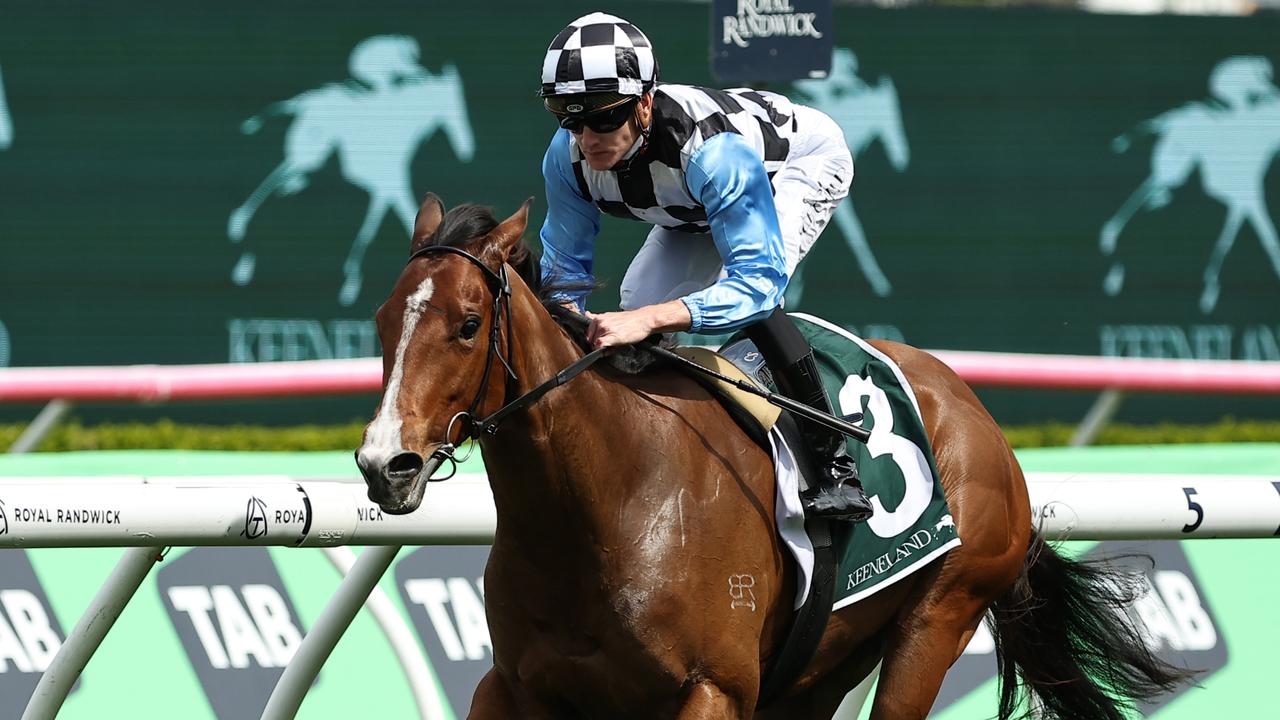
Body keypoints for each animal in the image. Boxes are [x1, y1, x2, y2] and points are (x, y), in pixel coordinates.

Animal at [355, 193, 1182, 712]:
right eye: (385, 317)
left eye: (468, 324)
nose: (385, 465)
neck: (602, 503)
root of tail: (972, 409)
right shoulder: (515, 687)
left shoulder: (712, 689)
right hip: (820, 667)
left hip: (937, 619)